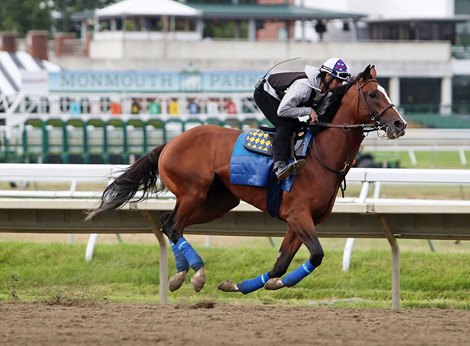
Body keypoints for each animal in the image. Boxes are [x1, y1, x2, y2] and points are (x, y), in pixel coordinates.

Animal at [87, 65, 408, 294]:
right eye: (373, 94)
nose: (400, 124)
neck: (320, 155)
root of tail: (170, 142)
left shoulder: (301, 220)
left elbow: (280, 265)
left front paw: (241, 285)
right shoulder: (298, 214)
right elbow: (316, 255)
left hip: (217, 202)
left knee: (169, 224)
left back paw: (179, 275)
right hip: (193, 192)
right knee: (173, 226)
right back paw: (196, 273)